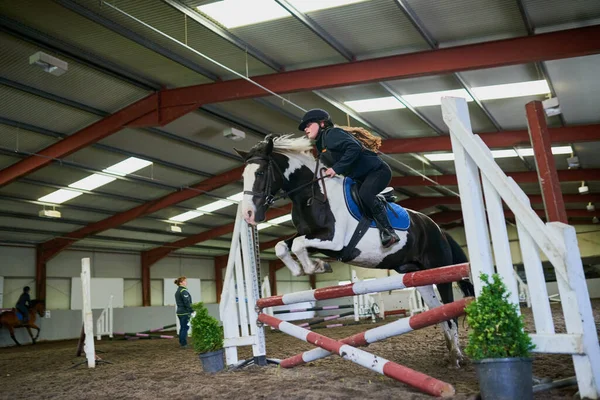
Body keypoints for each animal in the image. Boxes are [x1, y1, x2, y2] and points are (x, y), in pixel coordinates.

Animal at [234, 135, 474, 368]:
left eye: (260, 173)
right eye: (243, 176)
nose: (248, 214)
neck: (312, 195)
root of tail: (438, 229)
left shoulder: (335, 241)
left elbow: (299, 245)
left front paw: (316, 266)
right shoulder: (312, 236)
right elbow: (283, 246)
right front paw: (305, 269)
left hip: (440, 270)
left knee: (450, 312)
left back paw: (457, 357)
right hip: (418, 276)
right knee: (439, 312)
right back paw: (451, 353)